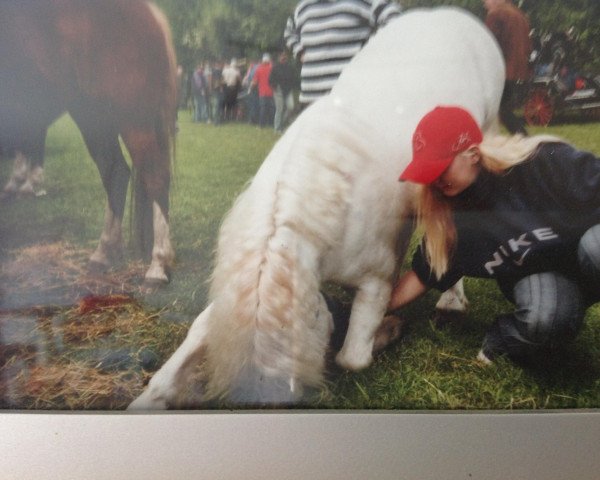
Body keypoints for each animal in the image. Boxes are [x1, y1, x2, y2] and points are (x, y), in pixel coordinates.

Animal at [0, 0, 177, 284]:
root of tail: (148, 12)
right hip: (93, 116)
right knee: (116, 171)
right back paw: (103, 252)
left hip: (129, 118)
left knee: (154, 176)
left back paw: (157, 265)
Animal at [129, 5, 504, 406]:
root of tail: (447, 13)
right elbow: (199, 333)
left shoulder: (377, 279)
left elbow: (350, 356)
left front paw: (388, 330)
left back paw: (451, 301)